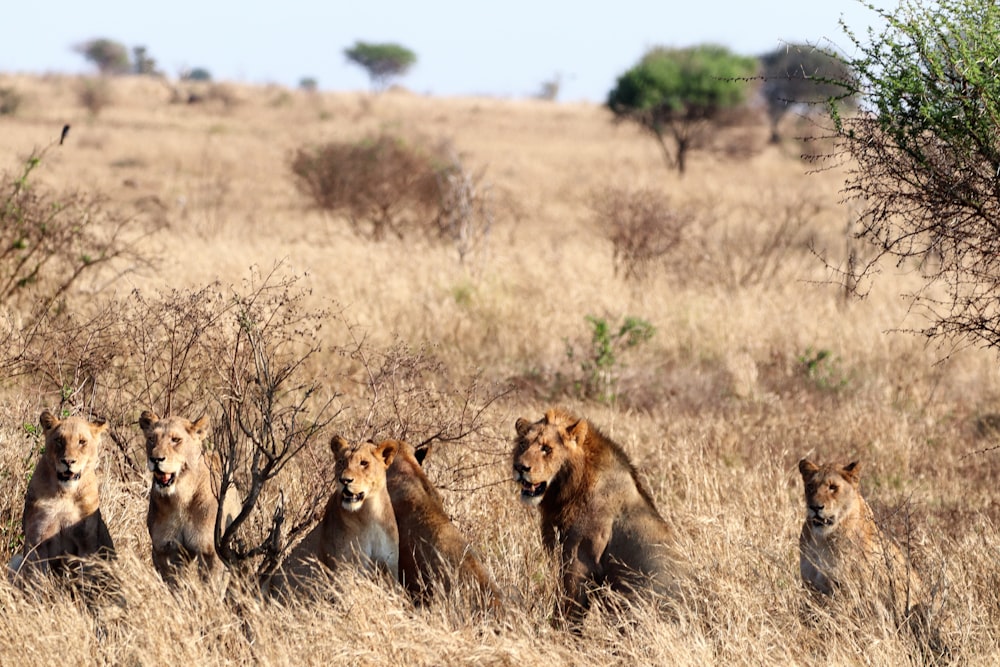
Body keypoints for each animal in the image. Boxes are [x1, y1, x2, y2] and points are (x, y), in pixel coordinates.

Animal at [8, 412, 115, 584]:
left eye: (82, 442)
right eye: (59, 440)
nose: (68, 461)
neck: (66, 494)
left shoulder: (87, 544)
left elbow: (86, 581)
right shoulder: (37, 541)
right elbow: (37, 581)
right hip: (16, 559)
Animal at [140, 410, 239, 588]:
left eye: (176, 440)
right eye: (151, 439)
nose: (155, 459)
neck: (181, 499)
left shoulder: (211, 551)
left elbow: (212, 586)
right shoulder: (164, 549)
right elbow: (174, 585)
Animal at [516, 408, 680, 632]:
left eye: (546, 449)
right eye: (523, 444)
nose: (519, 467)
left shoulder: (579, 561)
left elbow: (568, 606)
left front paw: (559, 633)